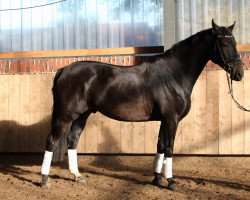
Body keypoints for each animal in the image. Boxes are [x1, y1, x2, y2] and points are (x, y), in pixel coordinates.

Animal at [40, 20, 243, 191]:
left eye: (234, 42)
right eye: (224, 44)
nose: (239, 73)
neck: (173, 75)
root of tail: (64, 69)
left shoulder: (164, 120)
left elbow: (160, 146)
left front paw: (157, 180)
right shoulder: (172, 119)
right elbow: (169, 148)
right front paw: (171, 182)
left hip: (82, 115)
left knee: (72, 140)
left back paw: (77, 175)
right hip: (65, 115)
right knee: (51, 140)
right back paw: (44, 179)